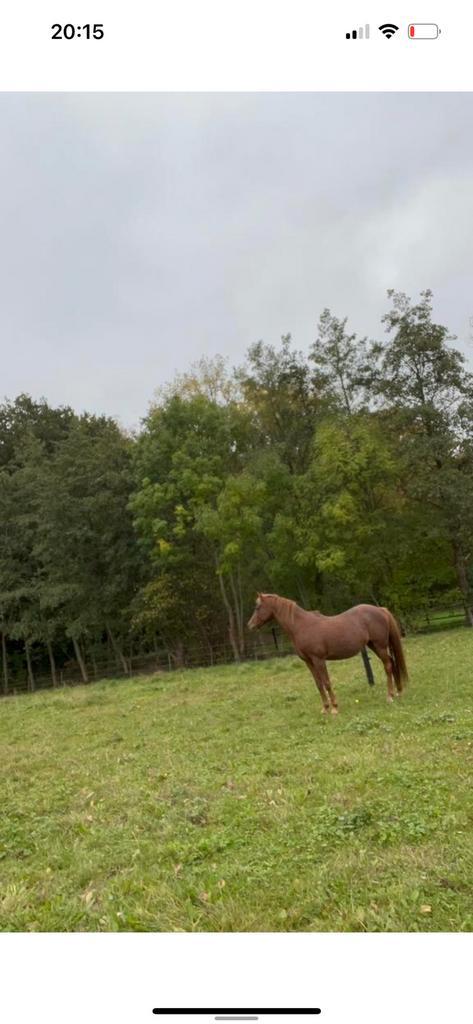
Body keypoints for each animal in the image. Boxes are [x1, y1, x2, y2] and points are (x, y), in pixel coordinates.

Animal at [247, 593, 408, 715]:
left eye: (258, 607)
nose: (250, 625)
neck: (301, 626)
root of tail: (380, 610)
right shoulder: (309, 662)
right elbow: (319, 684)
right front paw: (325, 708)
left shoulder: (319, 660)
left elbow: (326, 682)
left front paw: (334, 708)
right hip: (374, 645)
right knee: (392, 663)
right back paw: (399, 692)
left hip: (380, 646)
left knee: (388, 666)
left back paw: (390, 696)